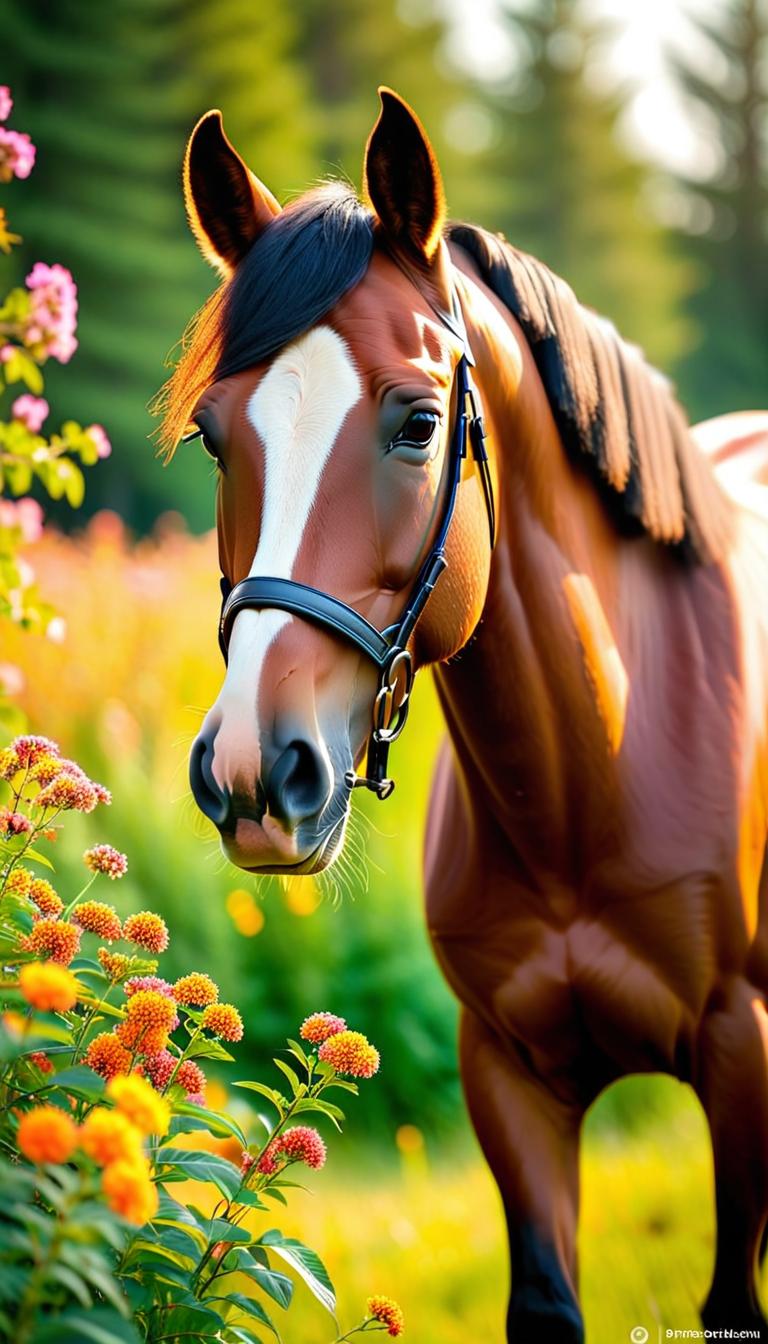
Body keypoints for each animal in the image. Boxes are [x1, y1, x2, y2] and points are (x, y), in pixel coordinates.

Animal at [160, 89, 768, 1338]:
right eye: (212, 434)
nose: (253, 770)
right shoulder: (507, 1074)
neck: (598, 769)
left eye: (417, 422)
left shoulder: (744, 1057)